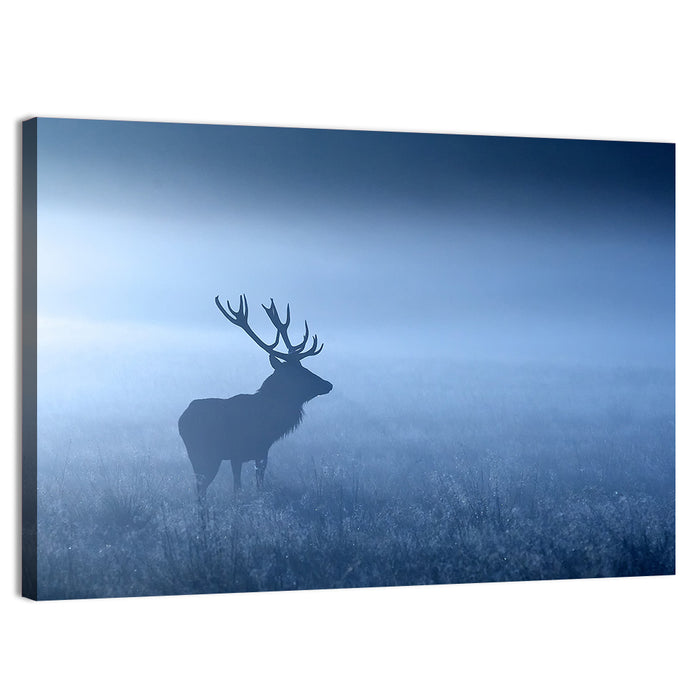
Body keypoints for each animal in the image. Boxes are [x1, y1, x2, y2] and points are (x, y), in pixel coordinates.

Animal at [178, 295, 333, 497]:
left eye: (304, 368)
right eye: (298, 373)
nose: (328, 384)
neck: (268, 423)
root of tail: (181, 420)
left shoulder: (262, 452)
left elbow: (259, 483)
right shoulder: (237, 453)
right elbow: (238, 487)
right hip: (204, 453)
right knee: (201, 489)